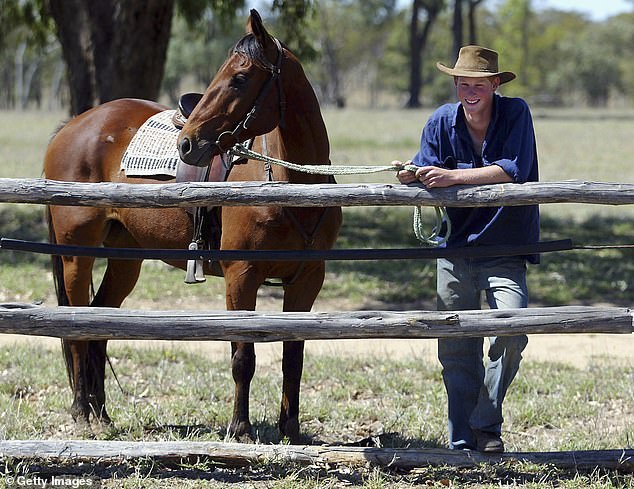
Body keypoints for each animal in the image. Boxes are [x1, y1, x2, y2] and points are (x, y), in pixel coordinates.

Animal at [44, 9, 340, 440]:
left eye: (239, 78)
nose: (187, 143)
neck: (292, 184)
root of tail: (71, 126)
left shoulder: (306, 281)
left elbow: (293, 357)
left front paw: (289, 430)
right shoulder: (241, 276)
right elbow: (243, 357)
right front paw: (240, 428)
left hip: (126, 258)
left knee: (100, 321)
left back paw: (101, 412)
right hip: (75, 256)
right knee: (78, 325)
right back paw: (83, 409)